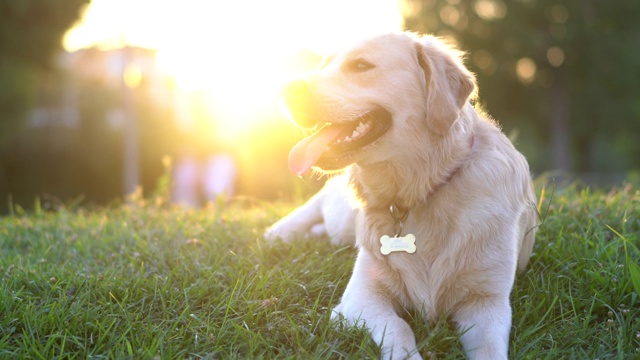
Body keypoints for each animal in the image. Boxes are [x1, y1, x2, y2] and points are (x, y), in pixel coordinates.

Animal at [262, 32, 536, 358]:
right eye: (324, 65)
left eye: (361, 65)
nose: (285, 88)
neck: (420, 192)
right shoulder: (360, 297)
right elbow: (399, 327)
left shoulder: (488, 301)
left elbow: (491, 348)